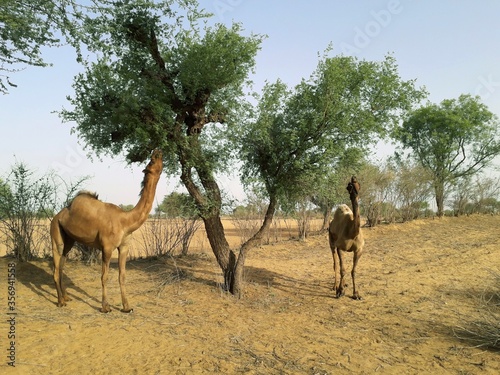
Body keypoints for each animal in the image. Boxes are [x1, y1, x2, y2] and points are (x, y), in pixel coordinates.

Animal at [50, 148, 162, 312]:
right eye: (152, 160)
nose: (158, 151)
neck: (125, 221)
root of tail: (57, 216)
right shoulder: (107, 247)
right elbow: (104, 276)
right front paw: (105, 307)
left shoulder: (124, 247)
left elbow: (122, 276)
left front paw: (127, 307)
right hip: (55, 232)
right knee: (56, 267)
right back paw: (60, 302)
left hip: (68, 240)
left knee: (61, 265)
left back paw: (66, 297)